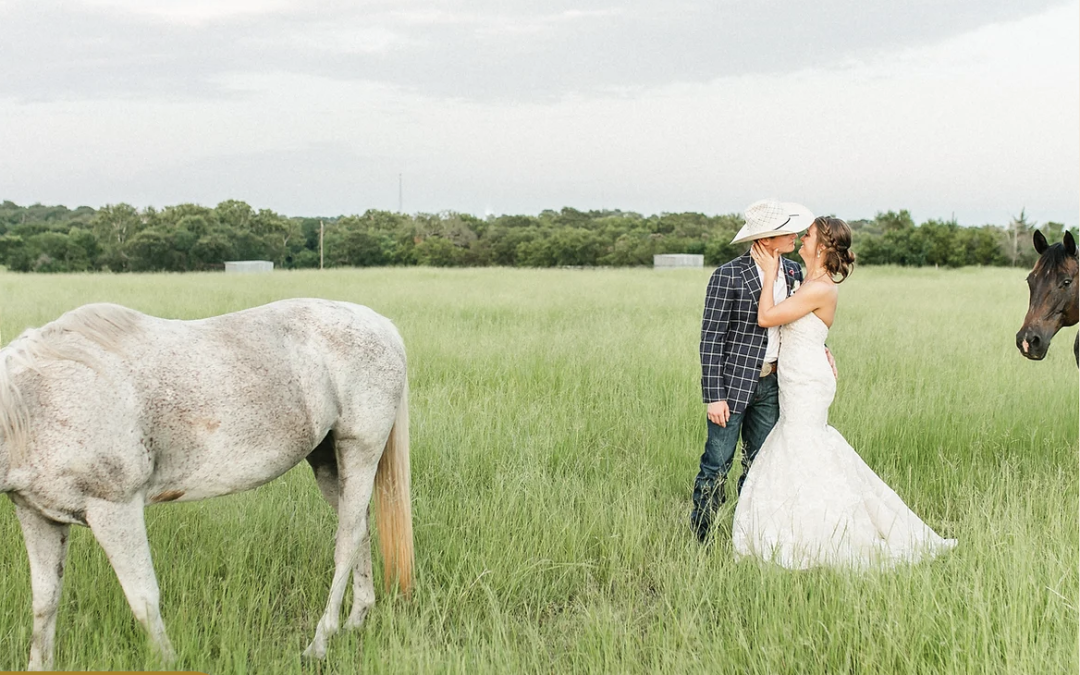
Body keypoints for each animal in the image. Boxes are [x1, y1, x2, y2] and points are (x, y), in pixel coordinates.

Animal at [0, 298, 412, 669]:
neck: (37, 405)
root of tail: (383, 325)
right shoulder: (38, 515)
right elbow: (45, 602)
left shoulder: (115, 509)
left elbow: (143, 598)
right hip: (329, 462)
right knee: (359, 527)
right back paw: (357, 618)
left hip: (360, 450)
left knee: (347, 540)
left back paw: (320, 642)